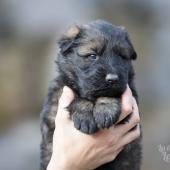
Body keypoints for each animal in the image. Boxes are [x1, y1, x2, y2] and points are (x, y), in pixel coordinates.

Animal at [40, 20, 142, 170]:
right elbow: (77, 98)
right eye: (93, 56)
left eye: (121, 56)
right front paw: (85, 116)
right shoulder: (59, 94)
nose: (112, 79)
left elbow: (110, 94)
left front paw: (105, 109)